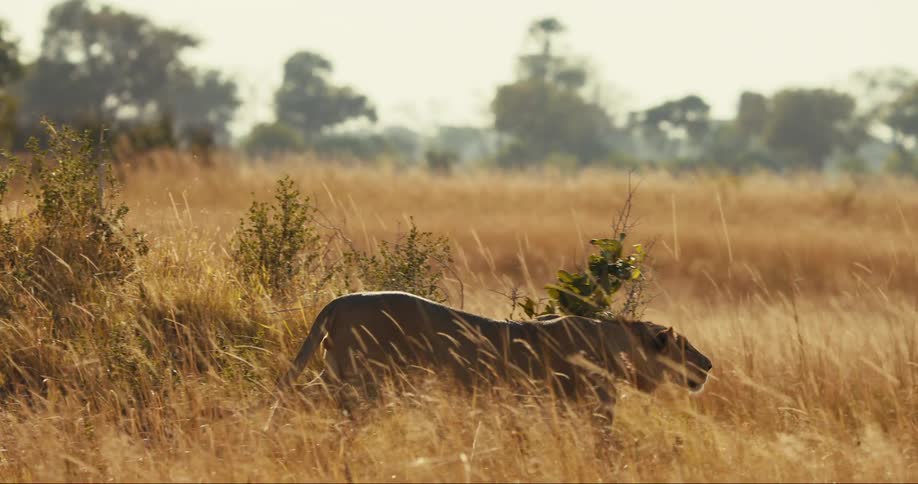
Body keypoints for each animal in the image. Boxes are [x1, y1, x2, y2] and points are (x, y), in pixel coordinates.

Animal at [277, 291, 712, 410]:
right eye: (683, 346)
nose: (709, 364)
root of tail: (341, 300)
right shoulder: (589, 410)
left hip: (336, 372)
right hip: (365, 380)